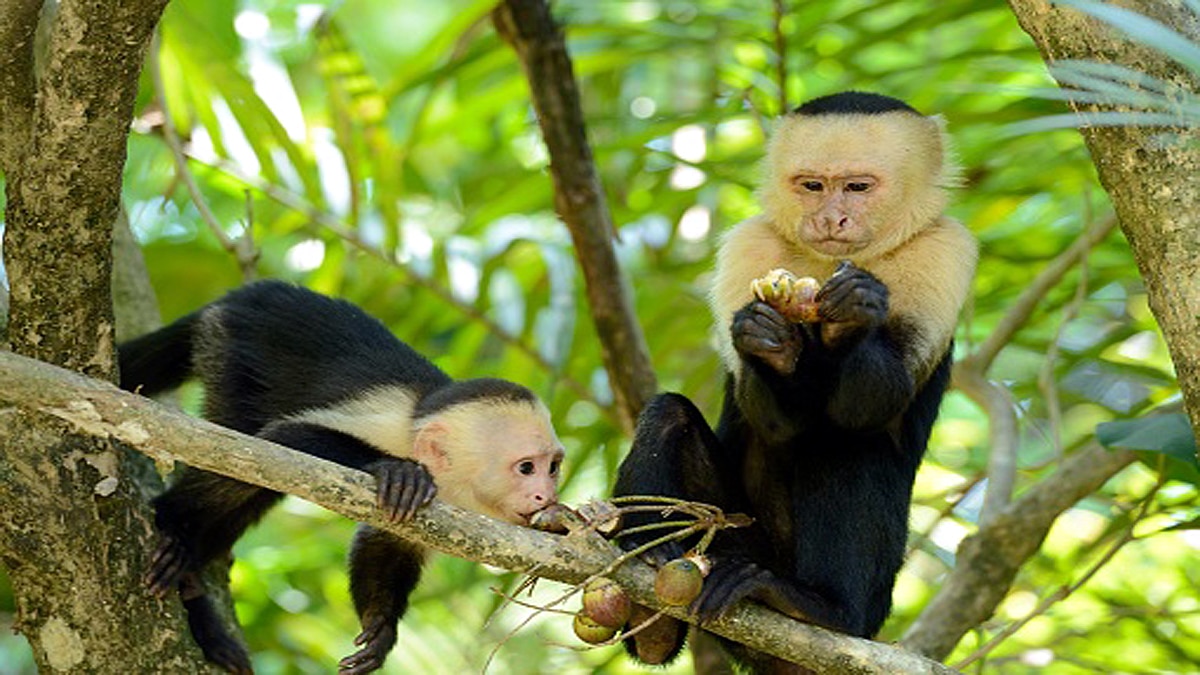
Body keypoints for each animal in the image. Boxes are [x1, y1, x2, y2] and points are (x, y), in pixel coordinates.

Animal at [118, 280, 565, 675]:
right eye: (526, 467)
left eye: (554, 466)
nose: (545, 495)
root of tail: (245, 293)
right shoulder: (388, 431)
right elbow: (282, 439)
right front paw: (396, 471)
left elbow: (385, 544)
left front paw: (380, 629)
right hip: (230, 349)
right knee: (240, 452)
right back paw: (175, 534)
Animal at [612, 91, 977, 672]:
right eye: (812, 186)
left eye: (857, 187)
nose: (830, 217)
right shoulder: (748, 246)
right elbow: (773, 417)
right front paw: (771, 342)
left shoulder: (944, 250)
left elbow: (873, 402)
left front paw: (852, 313)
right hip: (732, 538)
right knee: (668, 415)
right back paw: (653, 605)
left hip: (877, 601)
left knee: (847, 442)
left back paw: (823, 609)